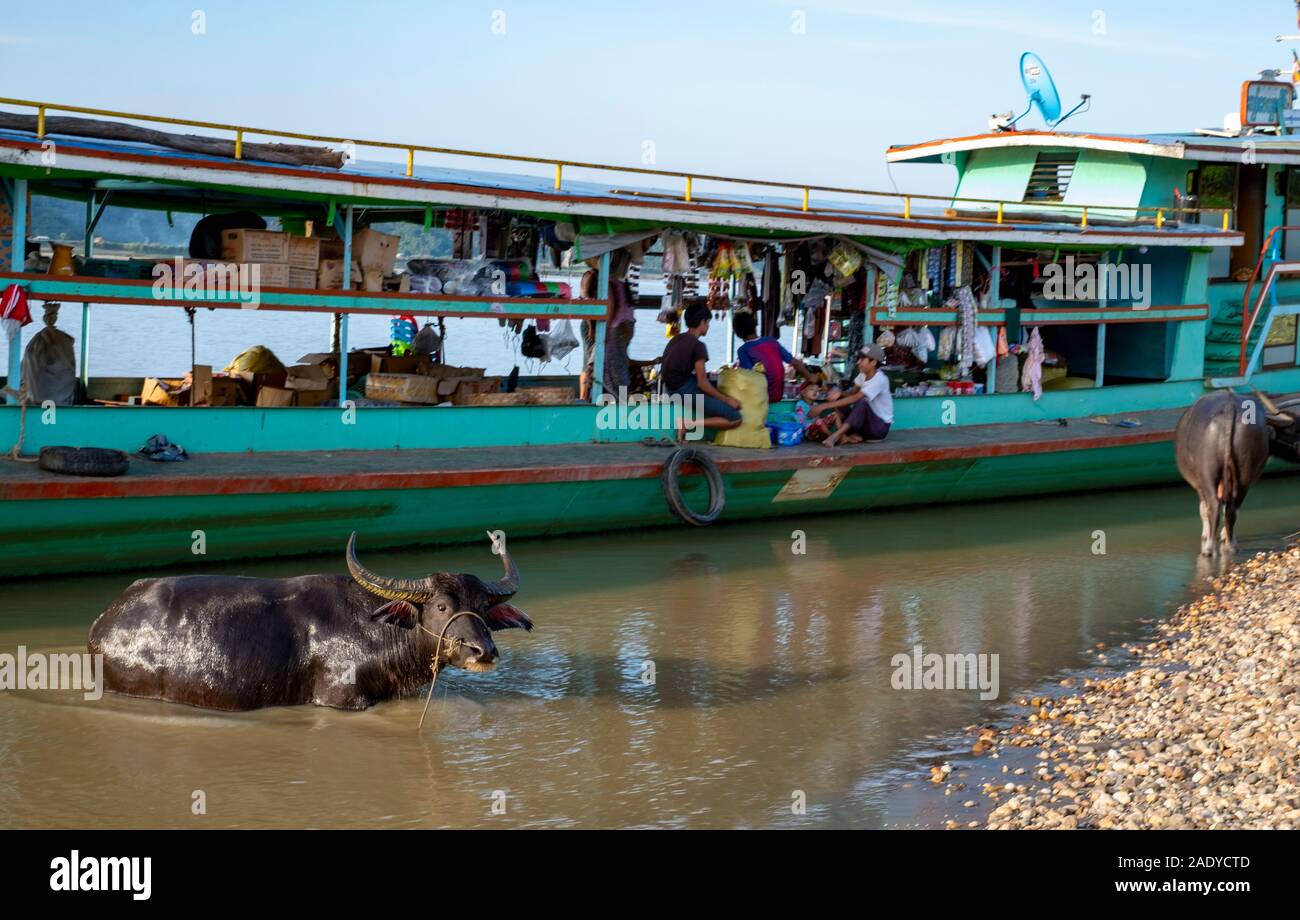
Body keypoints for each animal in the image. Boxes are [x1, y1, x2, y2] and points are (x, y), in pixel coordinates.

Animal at [89, 532, 530, 712]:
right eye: (440, 607)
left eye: (483, 607)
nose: (482, 651)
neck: (378, 630)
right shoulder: (343, 699)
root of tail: (104, 622)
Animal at [1175, 387, 1294, 553]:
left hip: (1208, 474)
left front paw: (1207, 535)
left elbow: (1203, 509)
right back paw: (1231, 545)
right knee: (1232, 508)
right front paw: (1224, 535)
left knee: (1214, 505)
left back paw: (1209, 547)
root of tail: (1229, 408)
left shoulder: (1199, 486)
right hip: (1244, 475)